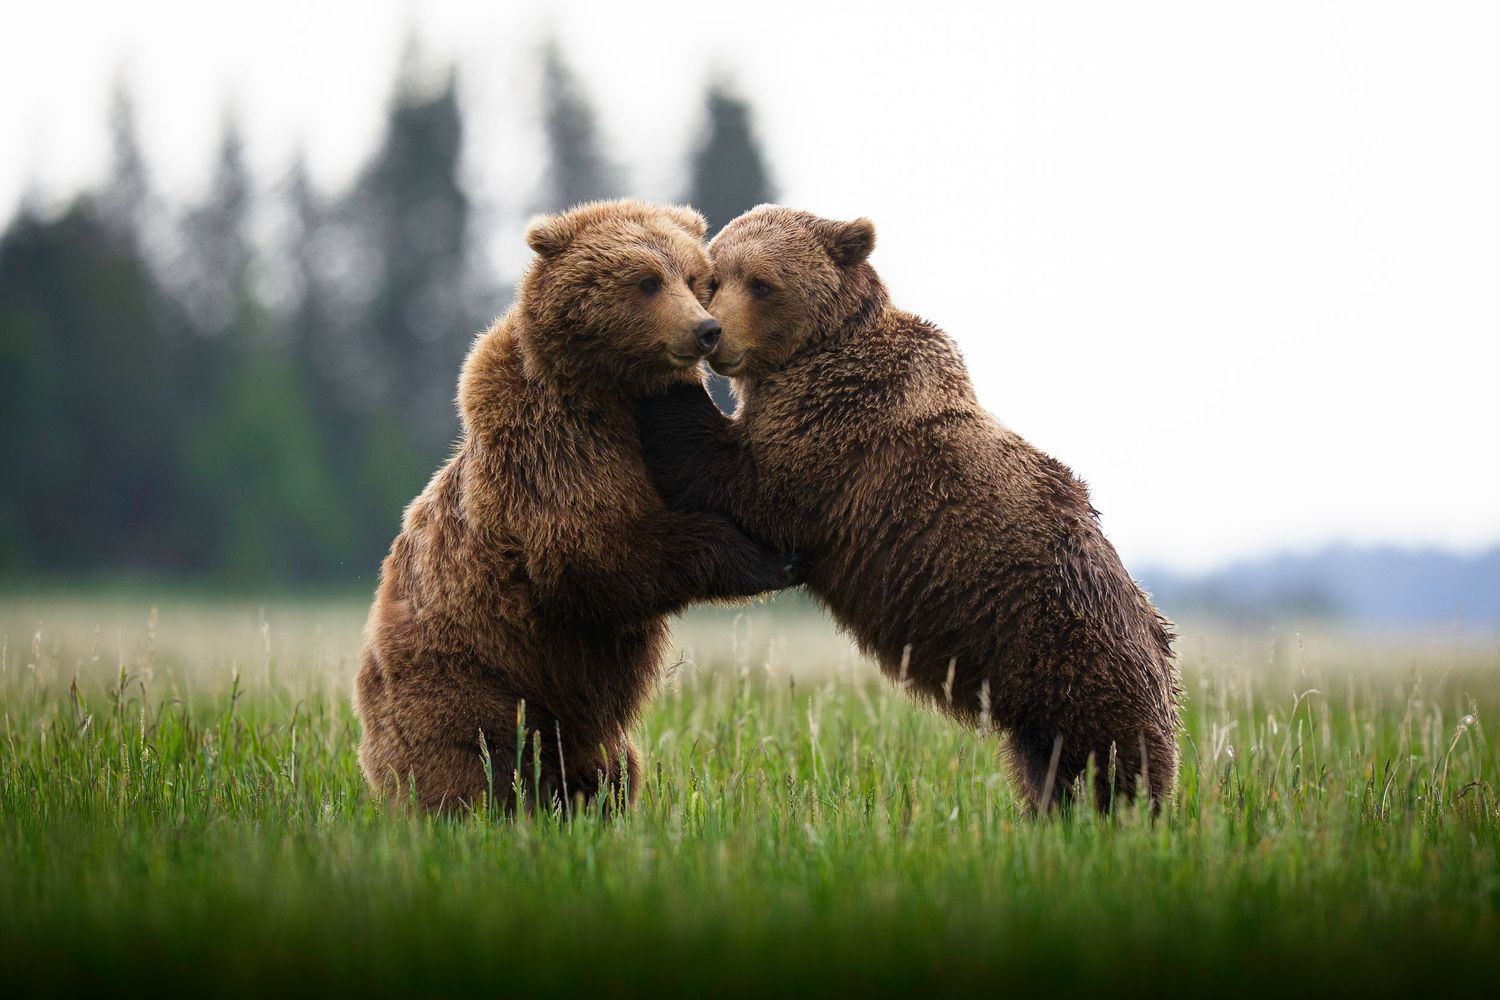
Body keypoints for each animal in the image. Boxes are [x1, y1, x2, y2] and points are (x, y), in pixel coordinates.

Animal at [356, 199, 797, 814]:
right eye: (646, 280)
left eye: (696, 279)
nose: (705, 330)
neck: (607, 392)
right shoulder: (554, 449)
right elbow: (594, 554)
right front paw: (765, 558)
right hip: (469, 678)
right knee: (472, 766)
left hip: (584, 731)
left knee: (611, 768)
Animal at [637, 205, 1182, 811]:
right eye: (714, 280)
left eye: (762, 283)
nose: (715, 337)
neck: (810, 353)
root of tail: (1160, 644)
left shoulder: (832, 431)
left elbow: (746, 484)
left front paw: (661, 386)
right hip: (1044, 702)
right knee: (1048, 768)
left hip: (1078, 662)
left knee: (1111, 767)